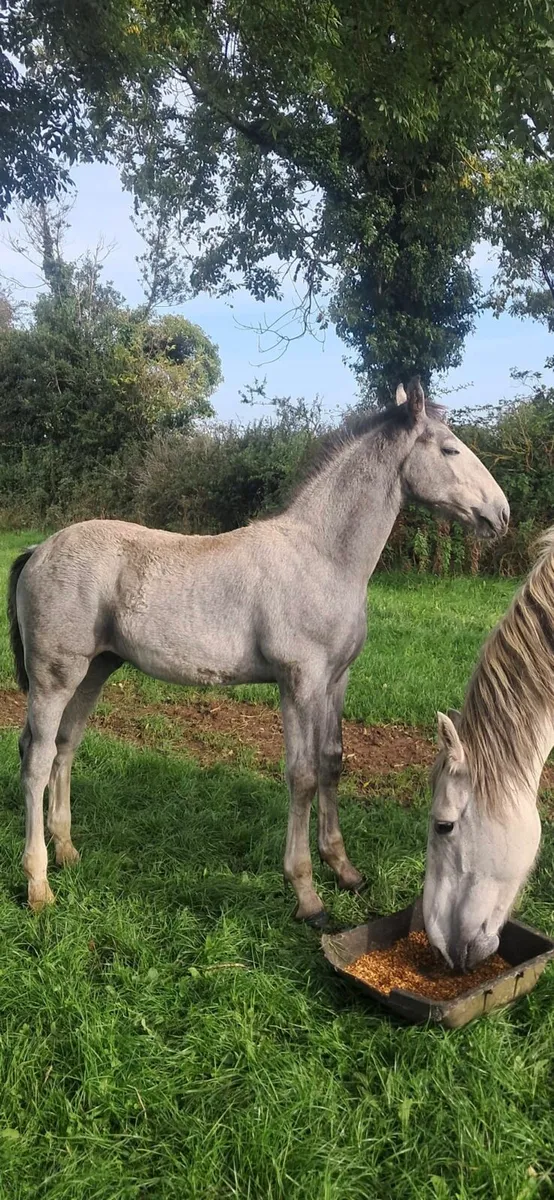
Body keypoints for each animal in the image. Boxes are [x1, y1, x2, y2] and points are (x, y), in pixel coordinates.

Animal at [8, 378, 509, 920]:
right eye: (449, 448)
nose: (501, 513)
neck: (322, 555)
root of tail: (38, 549)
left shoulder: (336, 680)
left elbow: (332, 762)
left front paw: (345, 870)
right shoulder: (299, 681)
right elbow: (303, 775)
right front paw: (307, 894)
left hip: (95, 670)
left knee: (66, 747)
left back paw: (67, 851)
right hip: (54, 677)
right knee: (36, 758)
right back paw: (38, 884)